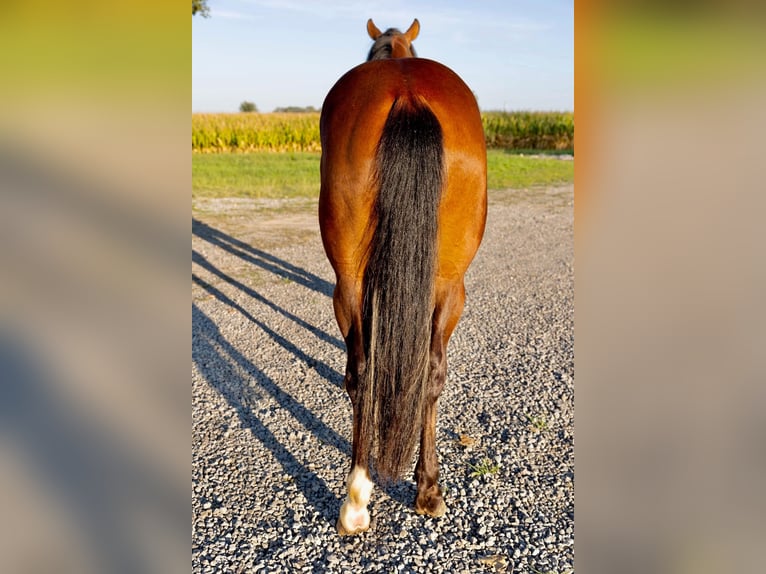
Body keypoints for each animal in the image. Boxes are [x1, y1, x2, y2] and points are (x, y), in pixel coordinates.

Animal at [318, 18, 487, 536]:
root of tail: (408, 94)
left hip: (350, 283)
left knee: (362, 371)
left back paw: (357, 497)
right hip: (450, 284)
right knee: (428, 372)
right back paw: (426, 488)